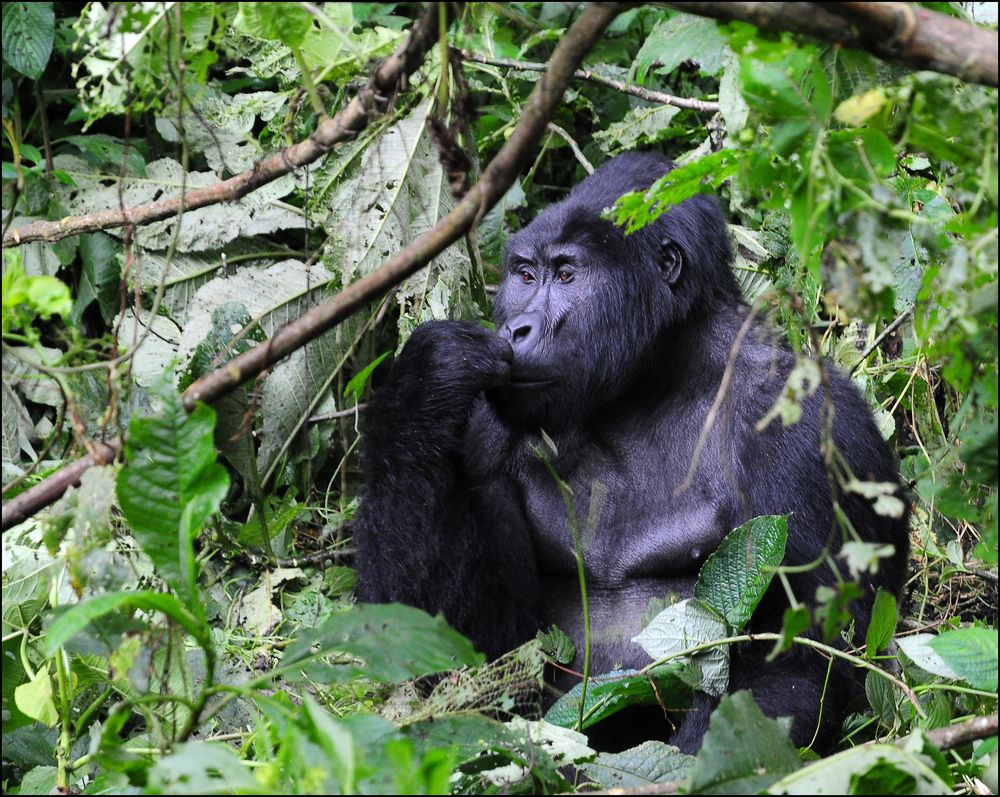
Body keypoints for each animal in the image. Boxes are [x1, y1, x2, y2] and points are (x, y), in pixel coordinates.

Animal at [352, 151, 908, 752]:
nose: (517, 329)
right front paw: (429, 379)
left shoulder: (807, 421)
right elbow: (459, 649)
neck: (654, 376)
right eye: (525, 275)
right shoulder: (487, 425)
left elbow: (818, 656)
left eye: (566, 274)